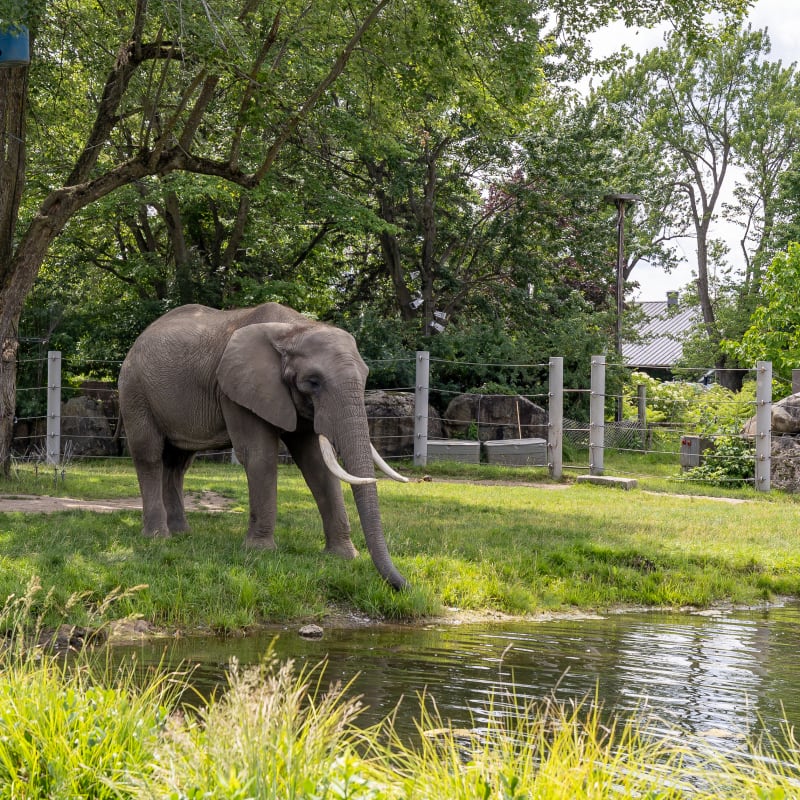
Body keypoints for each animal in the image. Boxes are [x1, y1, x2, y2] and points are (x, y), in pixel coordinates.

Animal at [118, 303, 409, 590]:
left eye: (366, 377)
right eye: (313, 382)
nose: (404, 586)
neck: (294, 330)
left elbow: (316, 463)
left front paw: (343, 557)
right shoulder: (236, 391)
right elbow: (260, 455)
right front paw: (260, 552)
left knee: (177, 463)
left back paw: (182, 533)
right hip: (134, 391)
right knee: (149, 455)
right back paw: (158, 537)